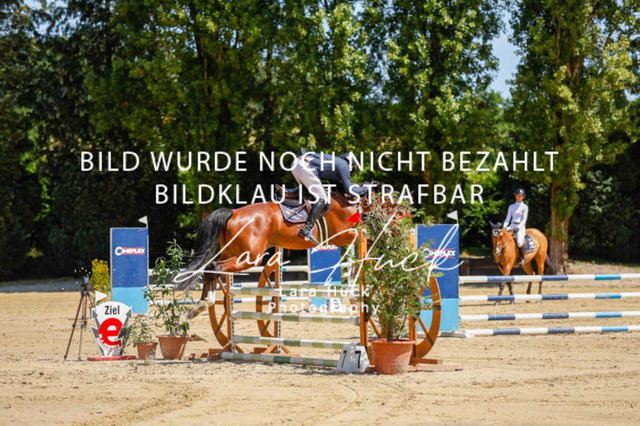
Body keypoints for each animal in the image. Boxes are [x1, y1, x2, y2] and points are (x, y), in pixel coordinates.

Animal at [176, 188, 369, 318]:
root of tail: (233, 213)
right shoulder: (341, 236)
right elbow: (364, 236)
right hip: (250, 258)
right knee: (216, 266)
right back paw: (205, 302)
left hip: (232, 252)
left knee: (209, 267)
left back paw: (199, 305)